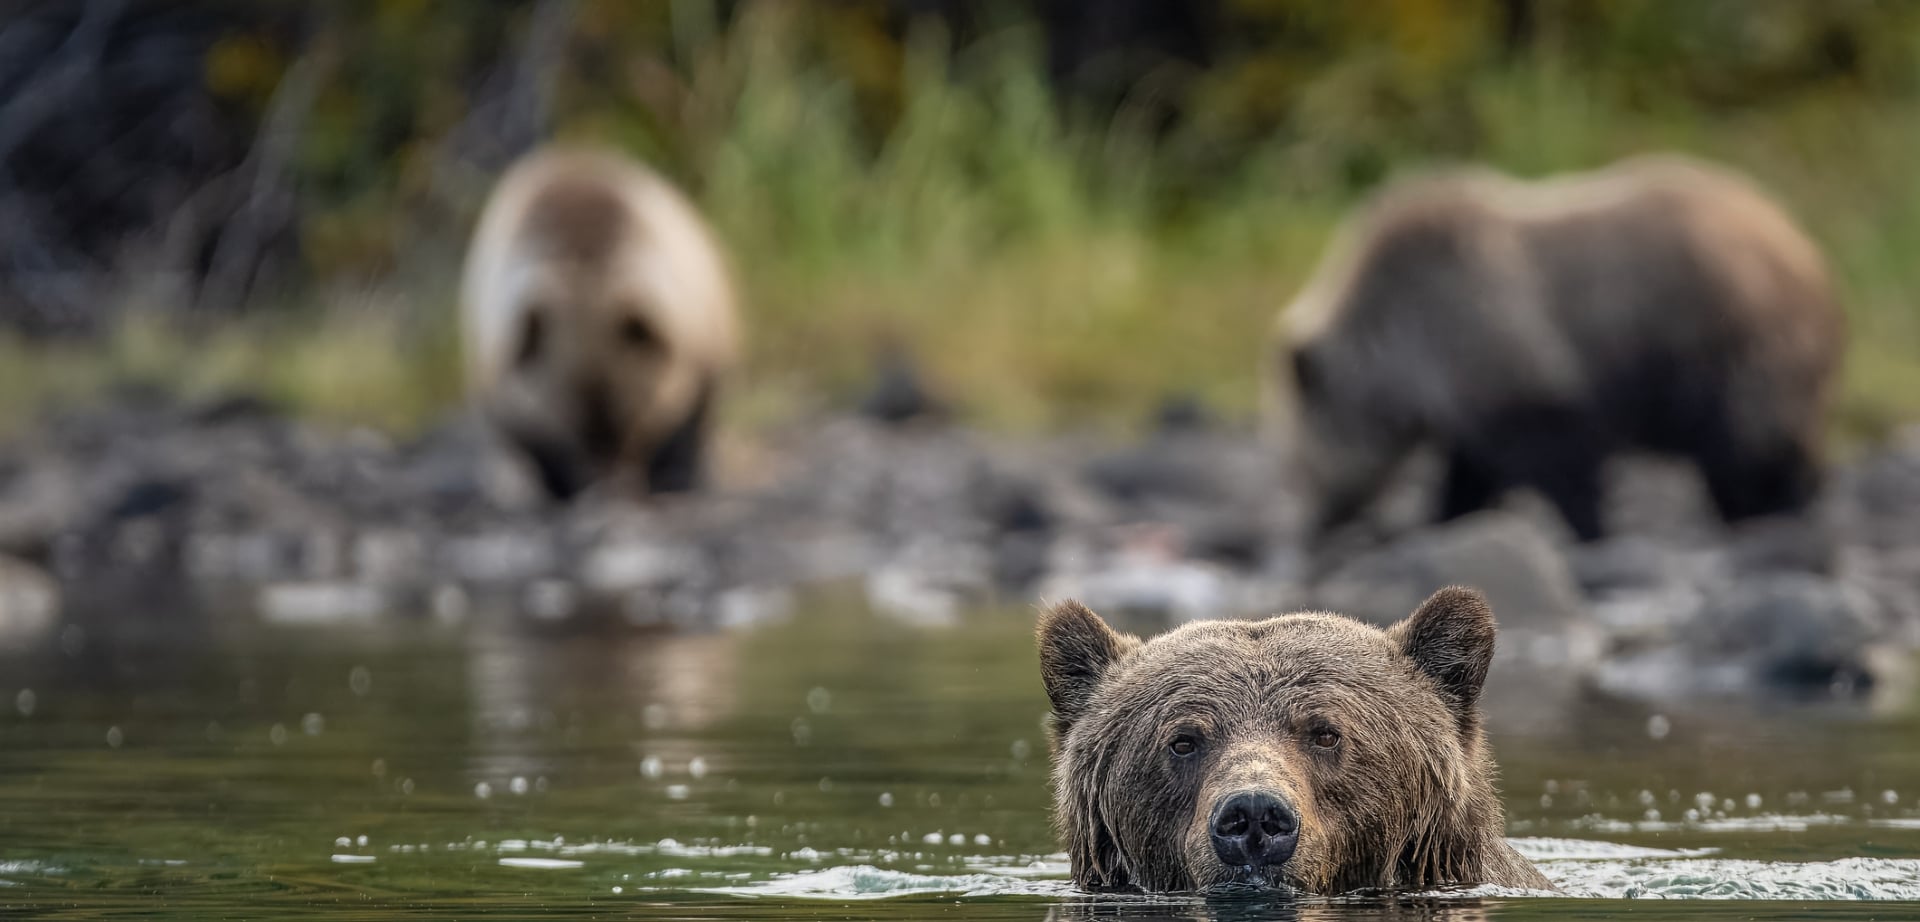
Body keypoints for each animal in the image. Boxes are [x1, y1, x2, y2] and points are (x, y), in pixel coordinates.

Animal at [461, 147, 740, 500]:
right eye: (573, 428)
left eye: (631, 421)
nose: (611, 485)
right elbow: (533, 437)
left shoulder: (694, 335)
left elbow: (688, 417)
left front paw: (675, 475)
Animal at [1271, 155, 1844, 541]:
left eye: (1296, 463)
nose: (1310, 526)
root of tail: (1802, 243)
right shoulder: (1471, 388)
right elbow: (1473, 469)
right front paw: (1450, 515)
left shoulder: (1502, 344)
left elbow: (1559, 455)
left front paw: (1589, 526)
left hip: (1728, 333)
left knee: (1748, 440)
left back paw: (1768, 510)